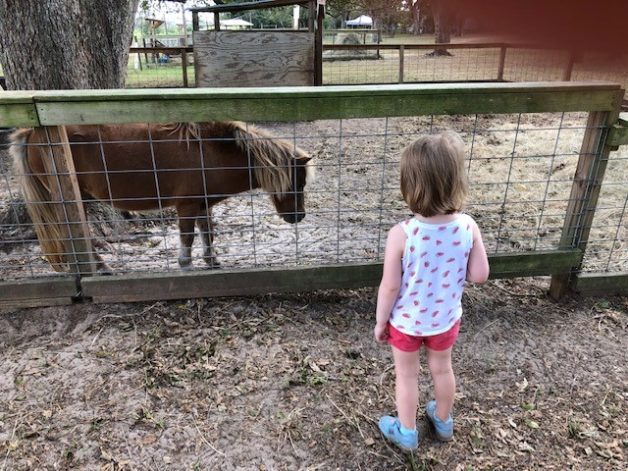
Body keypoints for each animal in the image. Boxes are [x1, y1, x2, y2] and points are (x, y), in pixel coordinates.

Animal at [9, 121, 314, 272]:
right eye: (296, 182)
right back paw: (100, 267)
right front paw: (185, 265)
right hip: (75, 200)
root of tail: (31, 134)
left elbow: (208, 233)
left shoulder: (202, 205)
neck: (208, 151)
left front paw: (212, 261)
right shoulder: (187, 205)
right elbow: (187, 238)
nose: (298, 216)